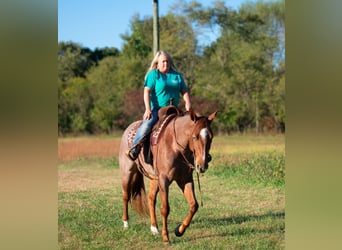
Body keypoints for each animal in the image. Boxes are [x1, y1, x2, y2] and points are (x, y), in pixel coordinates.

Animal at [119, 108, 218, 243]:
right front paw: (166, 237)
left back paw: (154, 228)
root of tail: (129, 129)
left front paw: (179, 230)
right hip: (127, 172)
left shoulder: (185, 179)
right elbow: (165, 208)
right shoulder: (164, 180)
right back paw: (126, 223)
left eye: (211, 137)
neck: (175, 146)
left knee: (151, 199)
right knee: (126, 196)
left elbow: (194, 205)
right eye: (194, 137)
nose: (202, 165)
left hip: (154, 179)